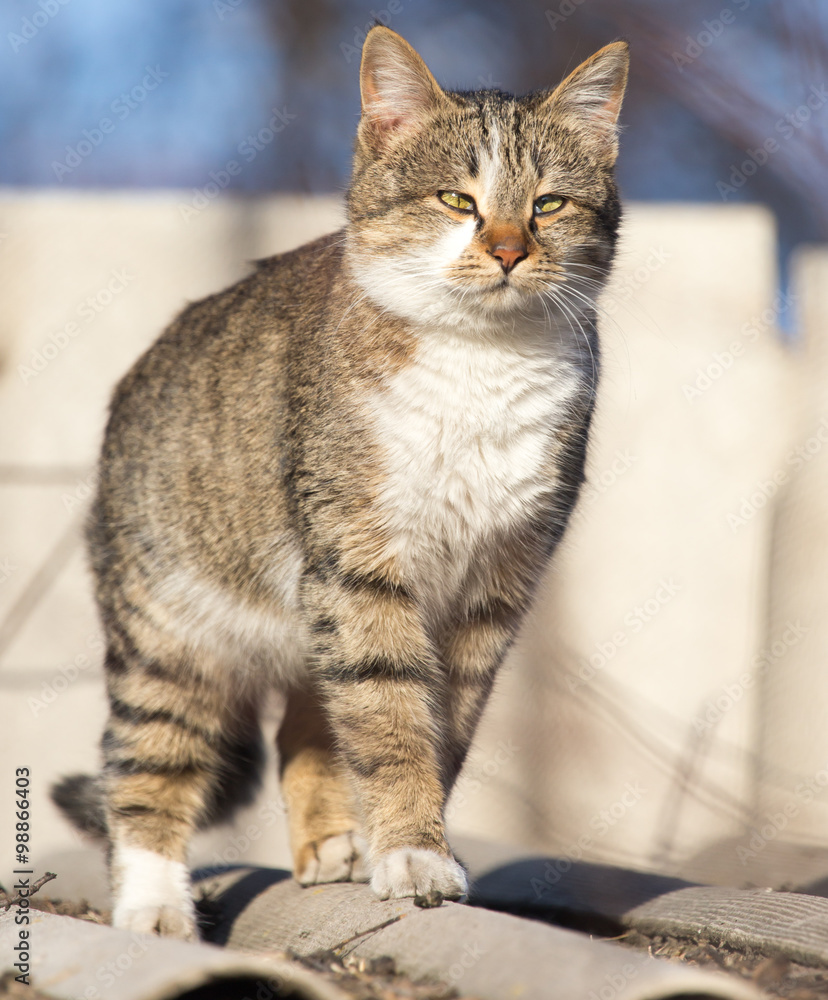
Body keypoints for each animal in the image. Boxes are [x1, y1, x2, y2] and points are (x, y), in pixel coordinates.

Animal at [51, 27, 628, 940]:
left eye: (548, 206)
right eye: (456, 200)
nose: (508, 249)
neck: (481, 364)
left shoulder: (492, 589)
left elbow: (436, 729)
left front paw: (402, 842)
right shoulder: (360, 562)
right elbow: (389, 721)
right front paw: (413, 853)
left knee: (303, 730)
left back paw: (330, 846)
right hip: (172, 639)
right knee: (145, 766)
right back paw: (154, 903)